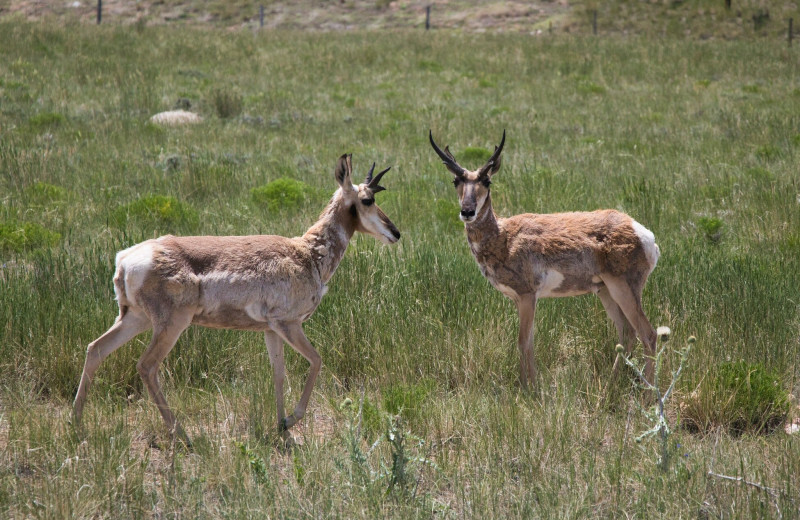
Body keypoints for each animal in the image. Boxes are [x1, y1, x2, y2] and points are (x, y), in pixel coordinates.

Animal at [73, 154, 400, 442]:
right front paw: (291, 419)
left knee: (96, 349)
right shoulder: (289, 324)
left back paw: (77, 424)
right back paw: (183, 435)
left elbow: (279, 374)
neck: (306, 252)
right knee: (147, 366)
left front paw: (281, 426)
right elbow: (318, 360)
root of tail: (126, 258)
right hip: (170, 326)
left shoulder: (271, 330)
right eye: (367, 200)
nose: (395, 232)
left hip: (135, 319)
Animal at [432, 131, 664, 386]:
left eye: (487, 181)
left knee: (648, 334)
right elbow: (529, 343)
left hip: (623, 289)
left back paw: (648, 392)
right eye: (456, 181)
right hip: (605, 291)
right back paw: (609, 388)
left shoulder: (527, 295)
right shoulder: (520, 299)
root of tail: (642, 232)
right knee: (627, 334)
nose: (467, 211)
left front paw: (528, 388)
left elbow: (523, 342)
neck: (504, 236)